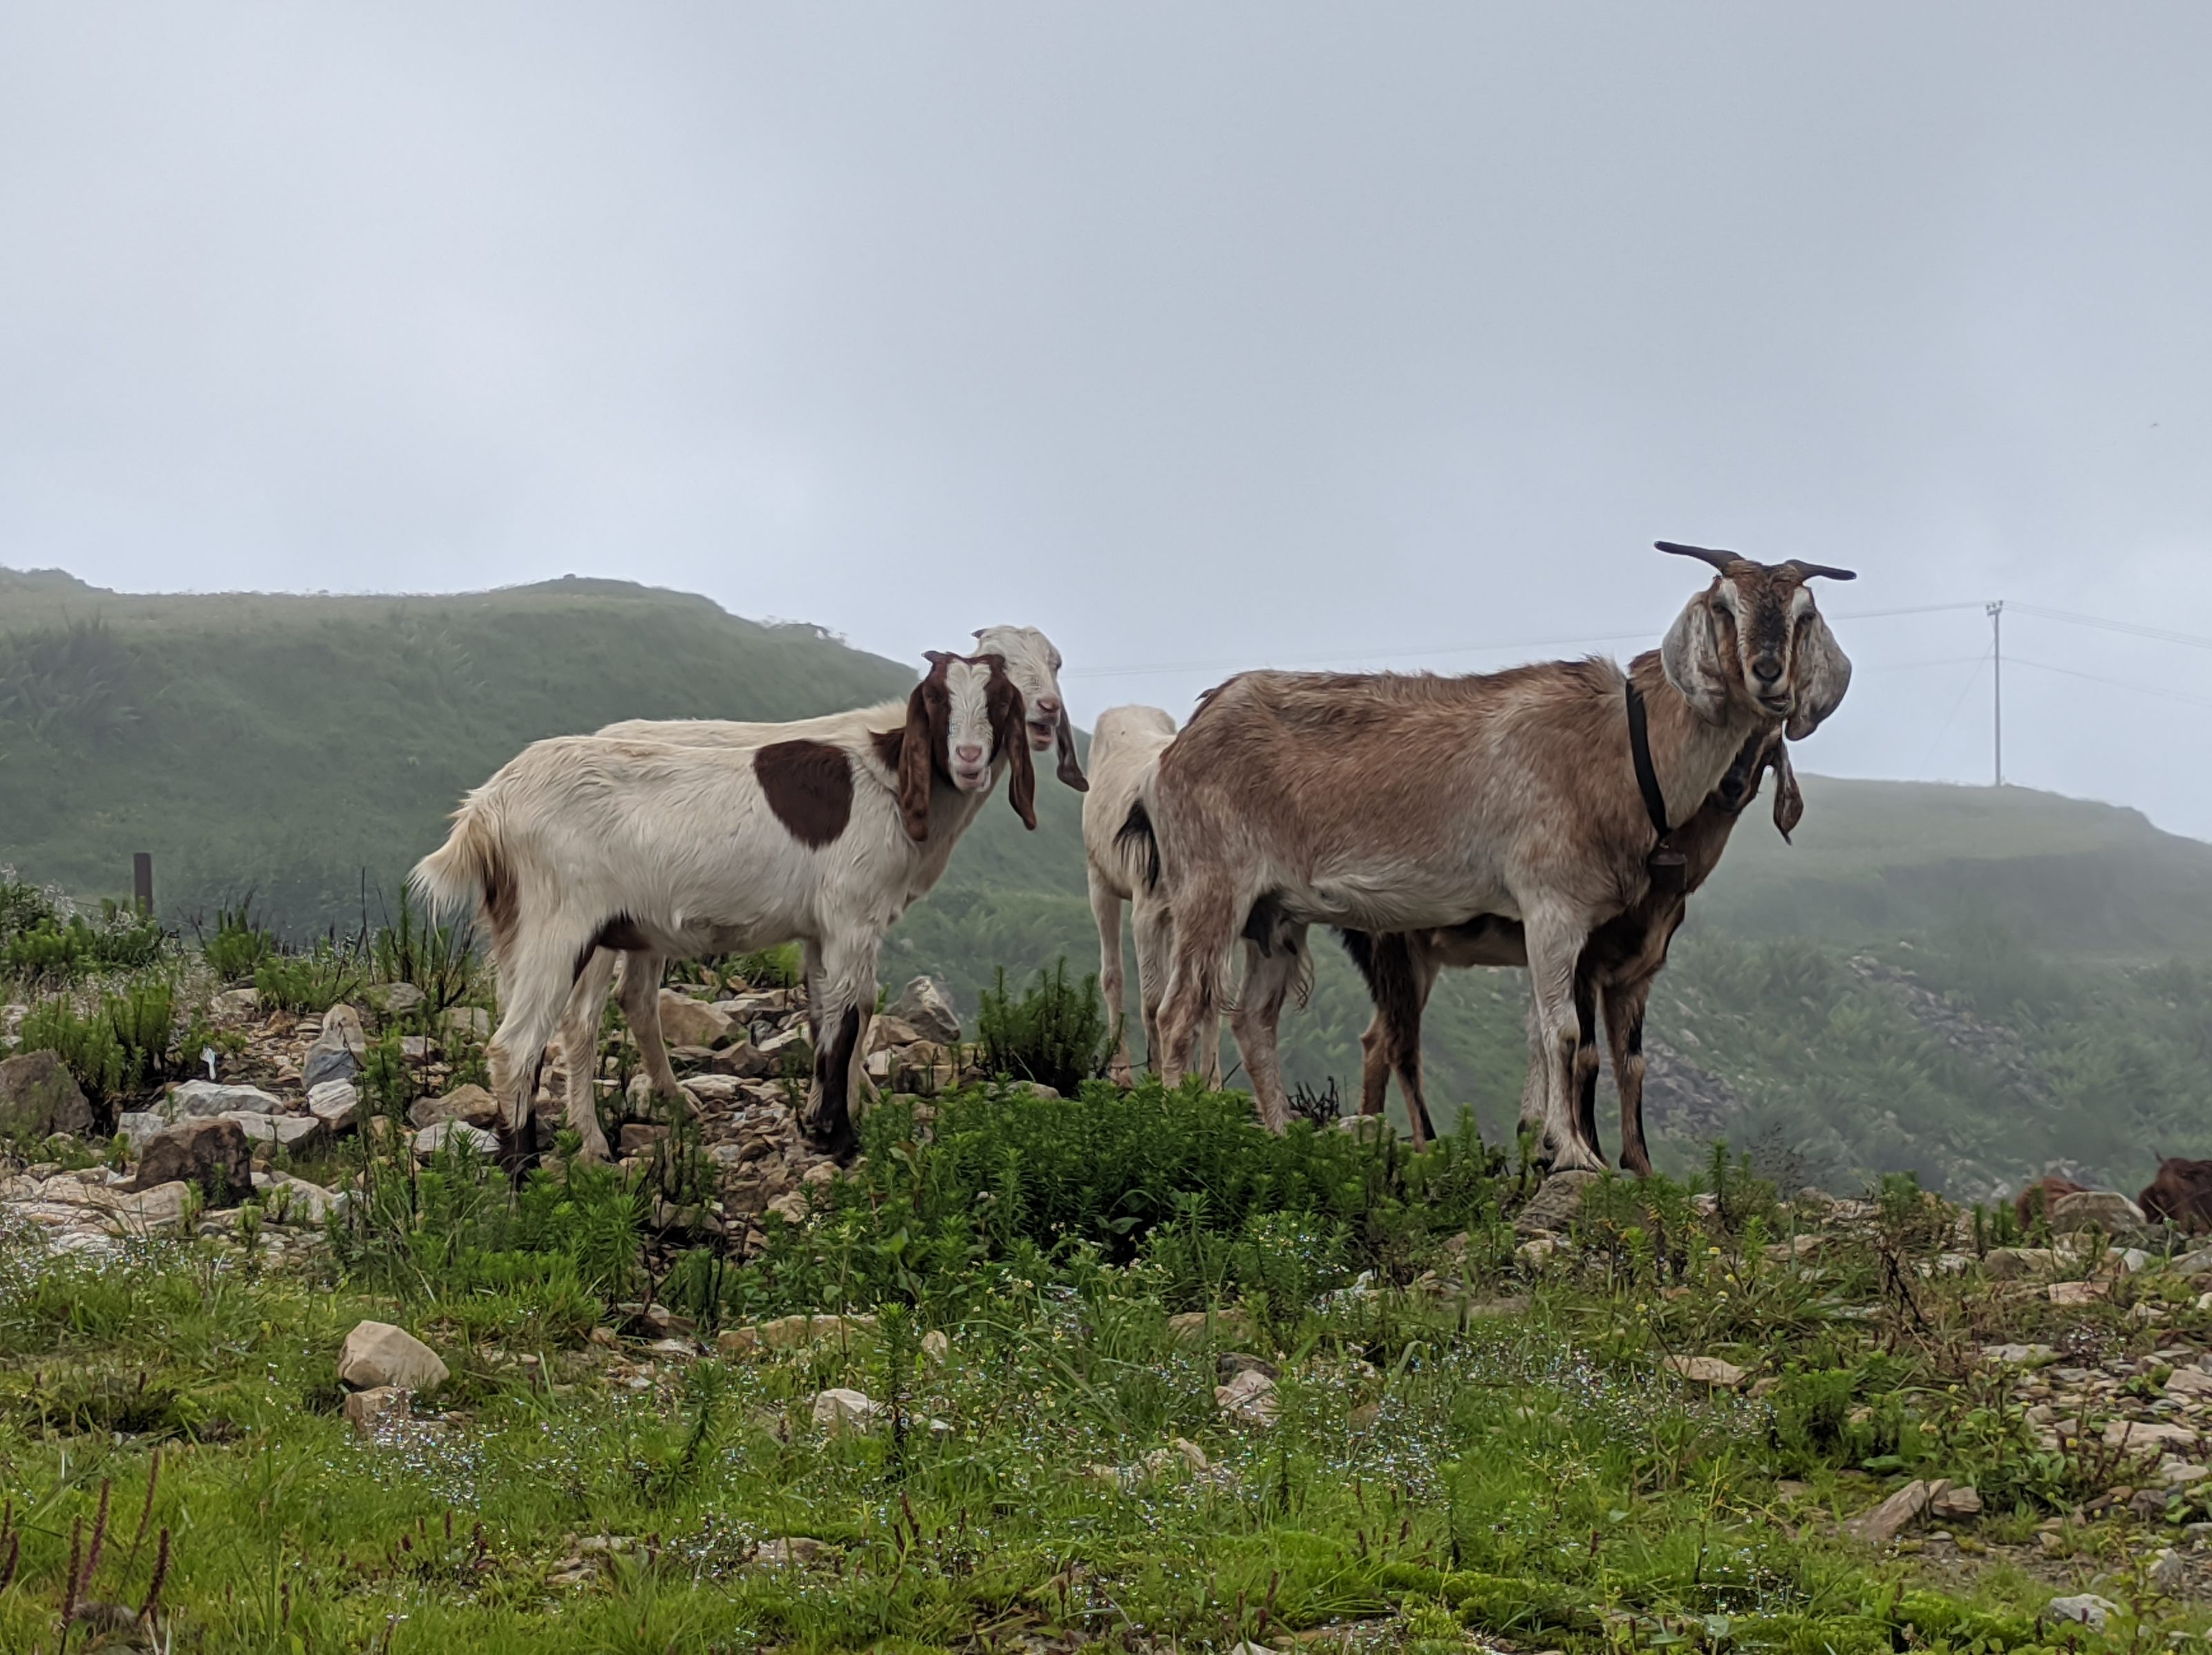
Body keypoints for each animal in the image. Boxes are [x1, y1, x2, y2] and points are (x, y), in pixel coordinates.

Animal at [418, 650, 1040, 1159]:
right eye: (935, 700)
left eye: (999, 701)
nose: (968, 758)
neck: (887, 781)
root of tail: (489, 807)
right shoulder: (853, 916)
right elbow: (850, 1018)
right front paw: (842, 1138)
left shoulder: (822, 931)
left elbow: (825, 1016)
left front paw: (821, 1124)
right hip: (561, 923)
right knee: (519, 1044)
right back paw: (530, 1171)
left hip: (517, 925)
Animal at [575, 619, 1084, 1141]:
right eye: (1004, 659)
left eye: (1055, 662)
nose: (1049, 706)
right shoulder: (854, 911)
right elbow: (858, 1003)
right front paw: (854, 1103)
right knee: (583, 1018)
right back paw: (589, 1135)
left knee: (636, 998)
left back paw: (675, 1100)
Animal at [1075, 708, 1230, 1084]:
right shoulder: (1147, 911)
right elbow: (1153, 999)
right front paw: (1160, 1077)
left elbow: (1210, 997)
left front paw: (1210, 1084)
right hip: (1100, 879)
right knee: (1113, 974)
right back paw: (1122, 1074)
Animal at [1327, 725, 1796, 1159]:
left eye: (1770, 747)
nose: (1731, 786)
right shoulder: (1584, 961)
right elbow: (1585, 1054)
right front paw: (1585, 1151)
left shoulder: (1634, 974)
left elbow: (1629, 1064)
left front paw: (1615, 1161)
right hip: (1393, 948)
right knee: (1400, 1043)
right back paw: (1423, 1140)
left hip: (1416, 958)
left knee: (1377, 1038)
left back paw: (1373, 1126)